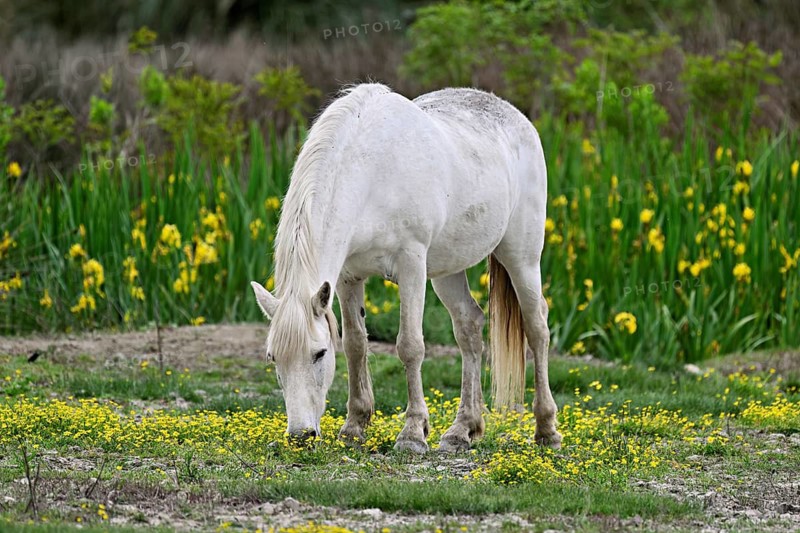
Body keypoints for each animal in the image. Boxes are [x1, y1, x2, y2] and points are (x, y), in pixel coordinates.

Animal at [250, 83, 562, 453]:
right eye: (274, 358)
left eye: (319, 354)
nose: (300, 435)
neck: (371, 171)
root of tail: (518, 119)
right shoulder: (348, 277)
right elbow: (356, 345)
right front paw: (354, 426)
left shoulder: (411, 263)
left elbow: (410, 346)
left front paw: (412, 433)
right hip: (447, 270)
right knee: (469, 328)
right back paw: (462, 430)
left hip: (522, 257)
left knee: (537, 327)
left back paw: (546, 429)